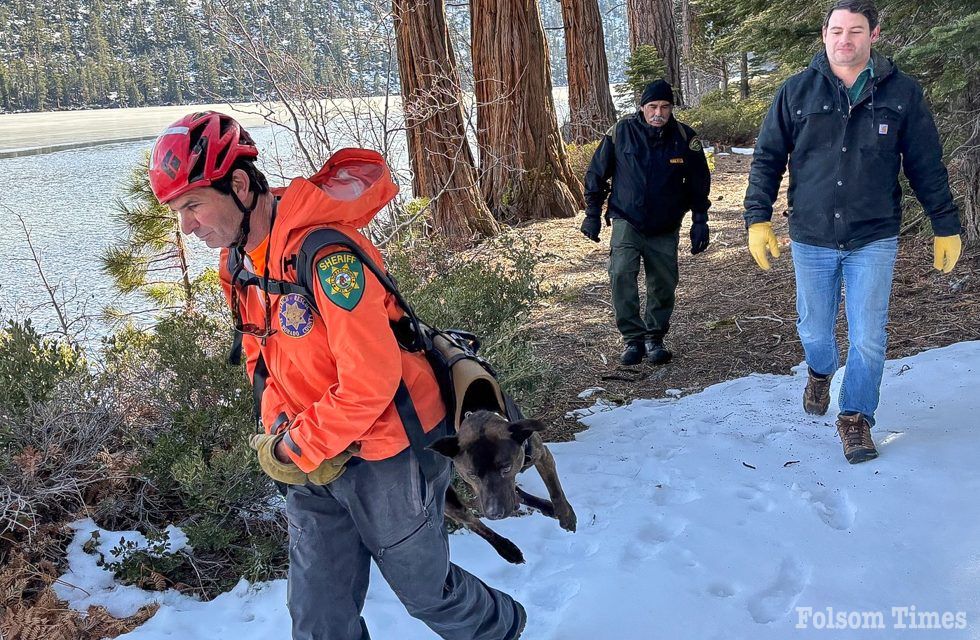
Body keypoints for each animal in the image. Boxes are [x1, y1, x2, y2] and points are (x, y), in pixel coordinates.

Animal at [428, 410, 576, 564]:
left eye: (506, 468)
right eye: (472, 475)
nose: (494, 513)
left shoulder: (543, 456)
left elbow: (555, 489)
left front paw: (566, 516)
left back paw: (547, 507)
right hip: (448, 499)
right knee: (473, 522)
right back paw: (507, 549)